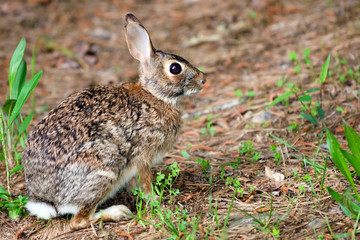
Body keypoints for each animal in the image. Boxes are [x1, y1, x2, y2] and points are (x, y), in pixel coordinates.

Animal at [22, 12, 207, 229]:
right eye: (175, 68)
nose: (203, 79)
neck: (154, 96)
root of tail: (44, 198)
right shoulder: (143, 156)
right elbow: (145, 184)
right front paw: (156, 200)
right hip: (104, 170)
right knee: (78, 221)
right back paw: (118, 212)